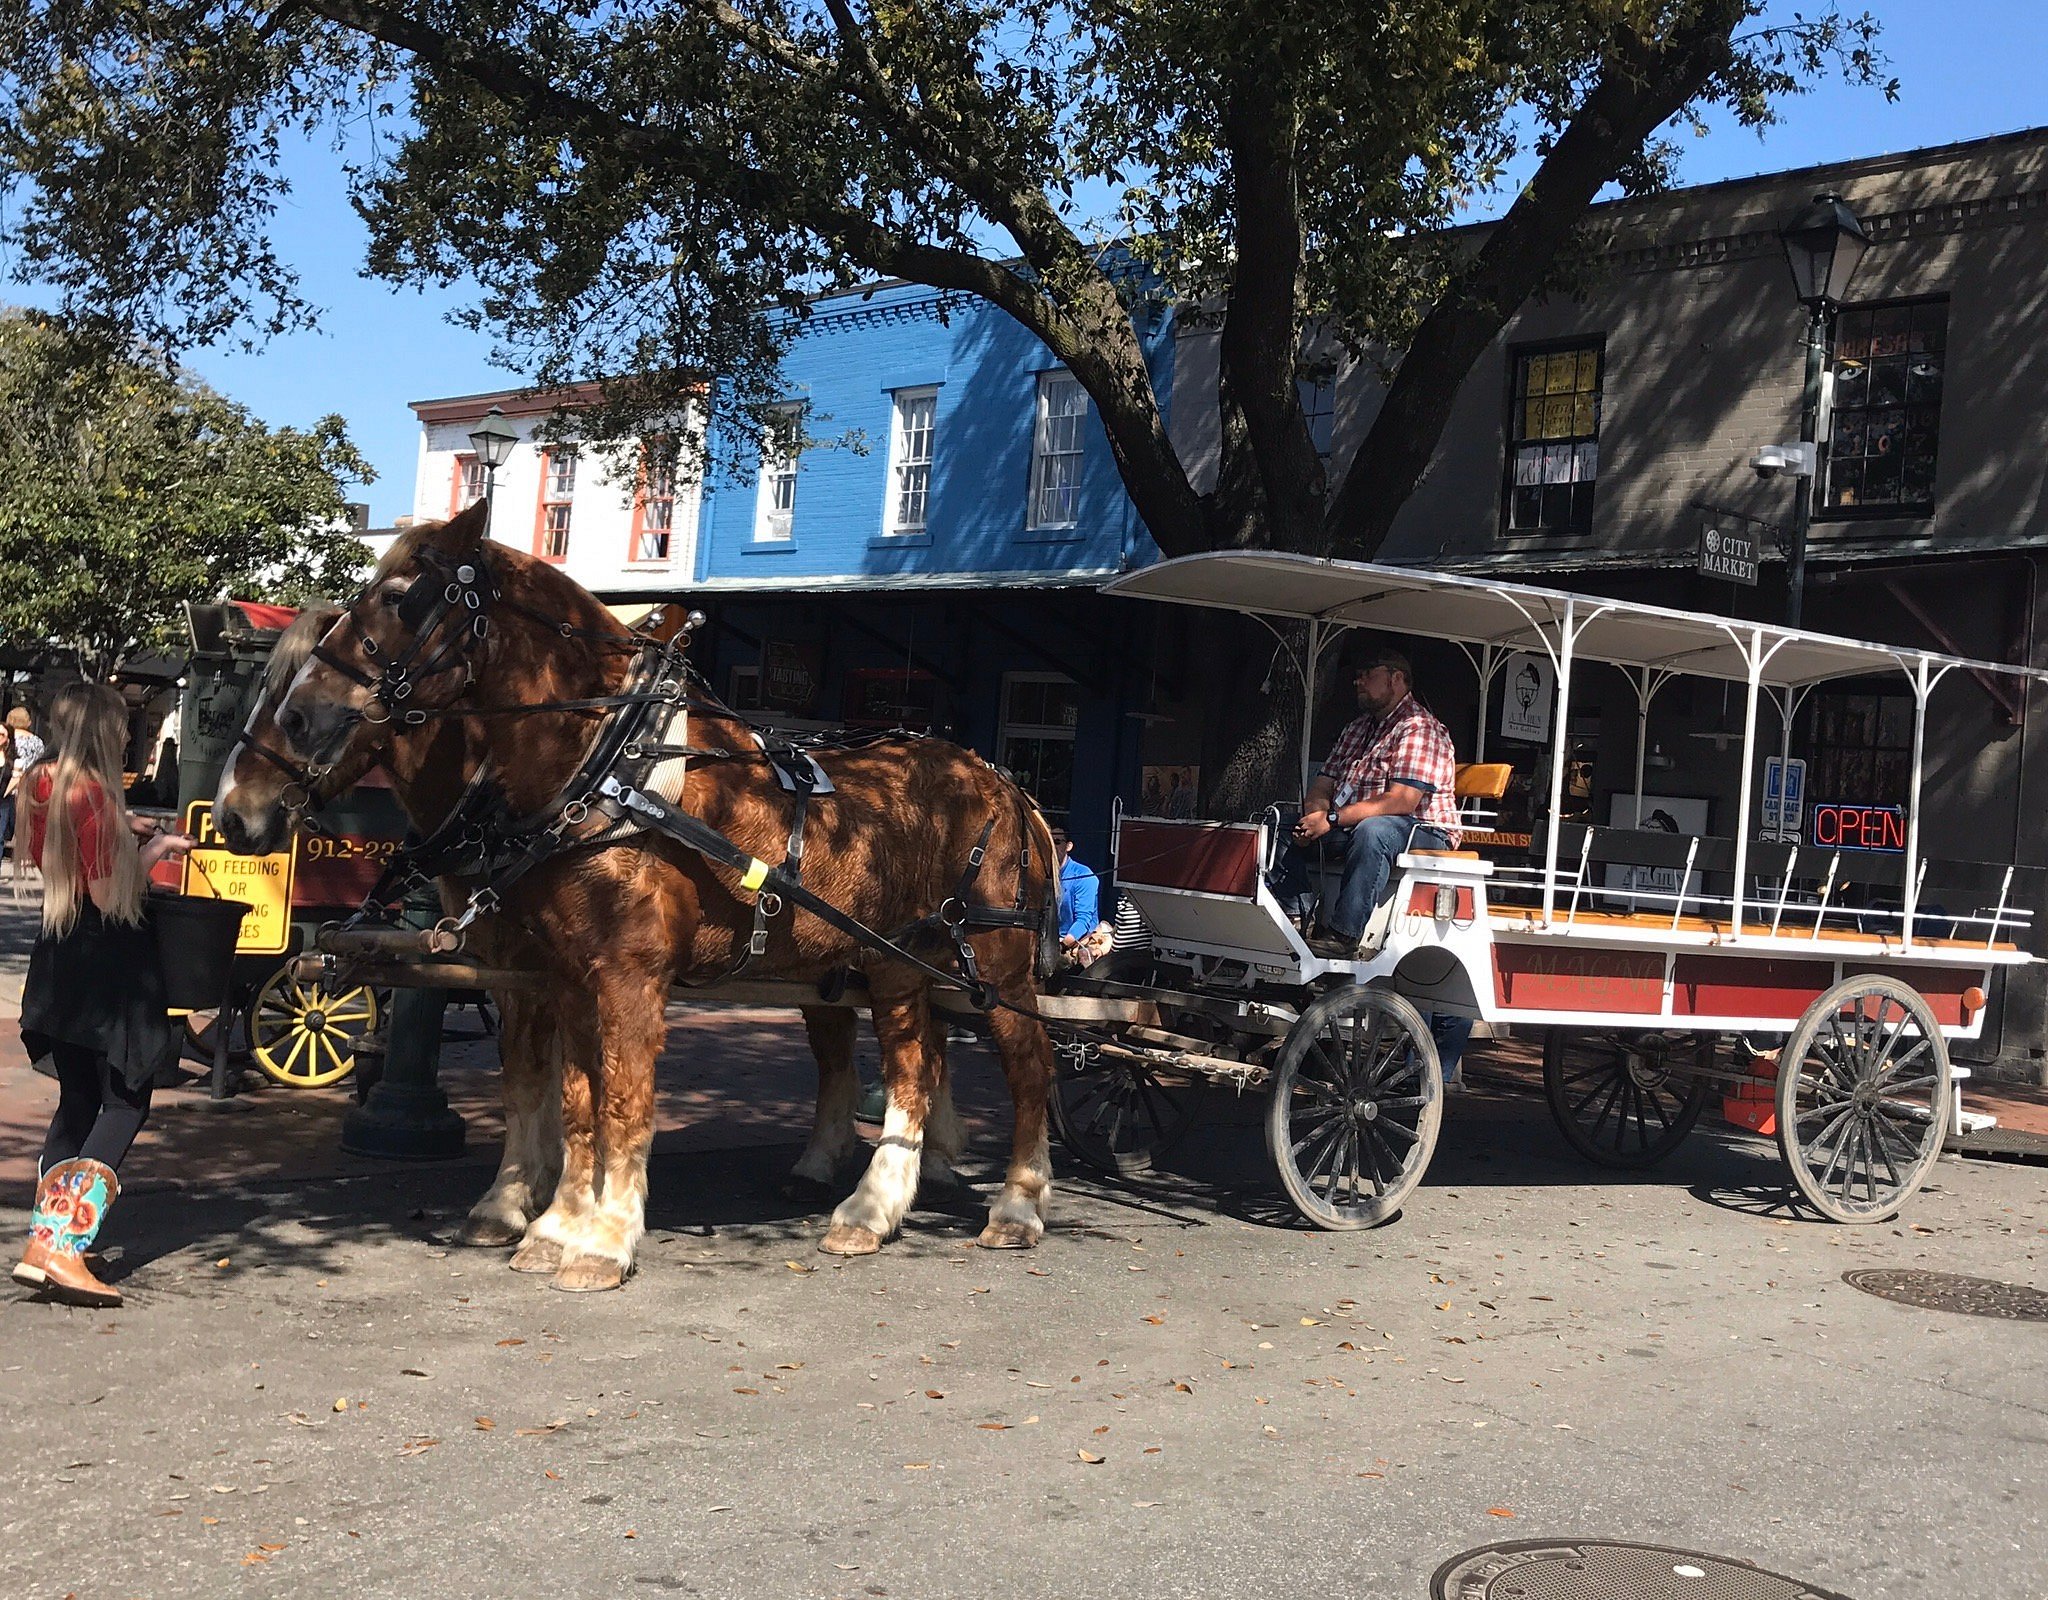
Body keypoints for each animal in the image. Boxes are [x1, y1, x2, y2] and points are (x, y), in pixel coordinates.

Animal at [216, 506, 1064, 1294]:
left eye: (399, 598)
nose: (233, 810)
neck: (603, 770)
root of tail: (1003, 782)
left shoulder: (624, 973)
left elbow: (619, 1100)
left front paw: (601, 1236)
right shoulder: (557, 972)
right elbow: (570, 1097)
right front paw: (549, 1221)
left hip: (992, 964)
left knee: (1024, 1064)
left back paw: (1012, 1205)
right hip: (887, 962)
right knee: (911, 1062)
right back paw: (873, 1200)